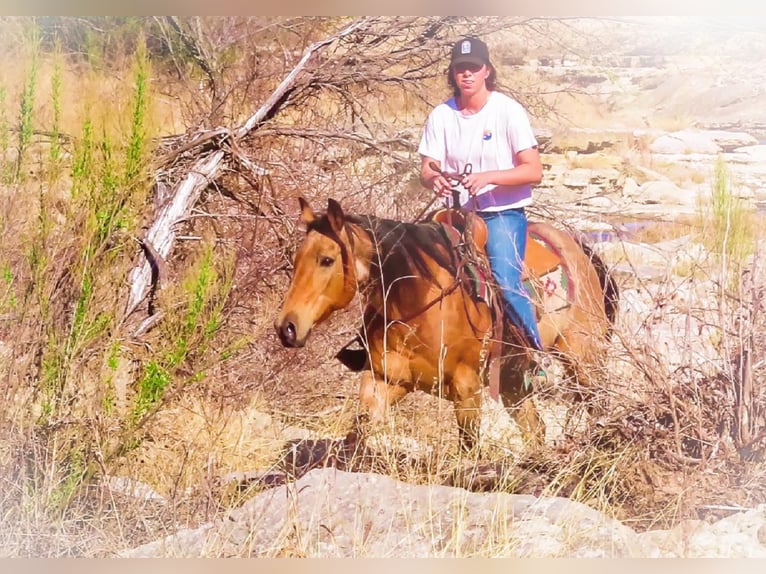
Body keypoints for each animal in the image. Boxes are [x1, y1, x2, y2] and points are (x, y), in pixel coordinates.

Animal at [272, 196, 620, 452]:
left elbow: (469, 451)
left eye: (327, 260)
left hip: (584, 360)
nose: (286, 327)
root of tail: (578, 248)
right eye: (296, 259)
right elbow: (356, 433)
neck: (417, 303)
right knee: (535, 429)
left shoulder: (466, 389)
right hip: (512, 381)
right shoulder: (385, 380)